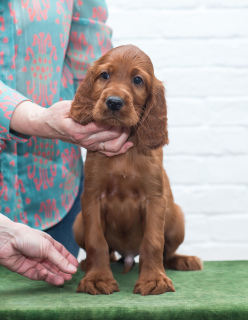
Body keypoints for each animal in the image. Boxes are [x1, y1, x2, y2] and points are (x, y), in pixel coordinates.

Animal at [69, 44, 202, 296]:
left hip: (176, 219)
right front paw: (97, 278)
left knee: (167, 253)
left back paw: (184, 260)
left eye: (138, 80)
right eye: (104, 75)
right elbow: (96, 241)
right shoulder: (91, 198)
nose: (113, 102)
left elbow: (153, 242)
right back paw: (86, 264)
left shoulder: (155, 199)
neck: (123, 156)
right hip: (78, 222)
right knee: (109, 251)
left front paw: (154, 280)